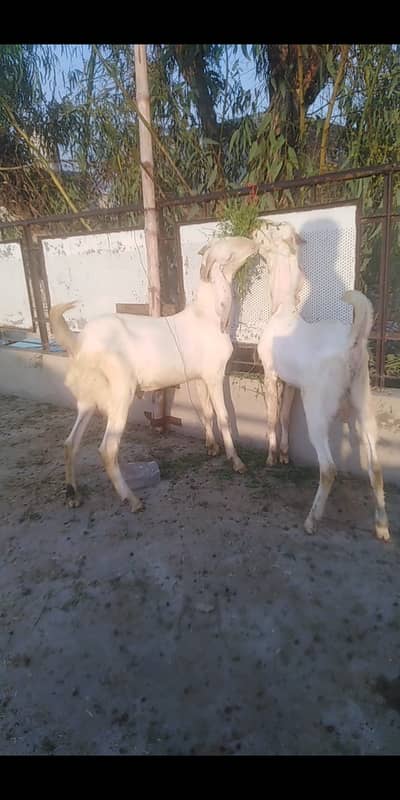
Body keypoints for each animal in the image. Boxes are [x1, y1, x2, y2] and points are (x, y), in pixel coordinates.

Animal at [50, 235, 259, 512]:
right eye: (230, 247)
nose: (254, 243)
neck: (208, 315)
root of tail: (79, 343)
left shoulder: (199, 378)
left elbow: (206, 411)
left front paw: (211, 446)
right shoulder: (215, 374)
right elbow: (223, 416)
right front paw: (236, 461)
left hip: (87, 398)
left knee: (69, 443)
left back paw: (72, 493)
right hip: (121, 394)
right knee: (107, 449)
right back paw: (131, 499)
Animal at [254, 220, 390, 541]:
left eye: (273, 230)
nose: (256, 226)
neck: (283, 308)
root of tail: (352, 342)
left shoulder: (270, 373)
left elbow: (271, 416)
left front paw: (271, 456)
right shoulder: (292, 383)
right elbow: (285, 416)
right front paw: (285, 455)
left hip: (317, 407)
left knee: (328, 469)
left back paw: (311, 520)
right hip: (363, 401)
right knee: (376, 467)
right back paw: (382, 527)